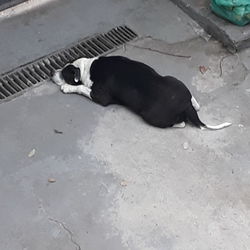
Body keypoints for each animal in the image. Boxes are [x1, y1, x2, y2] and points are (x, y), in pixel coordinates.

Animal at [51, 55, 231, 130]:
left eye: (64, 74)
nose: (52, 73)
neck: (86, 68)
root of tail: (185, 105)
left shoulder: (100, 96)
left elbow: (81, 88)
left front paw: (67, 87)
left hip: (151, 115)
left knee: (180, 124)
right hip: (173, 80)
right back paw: (195, 103)